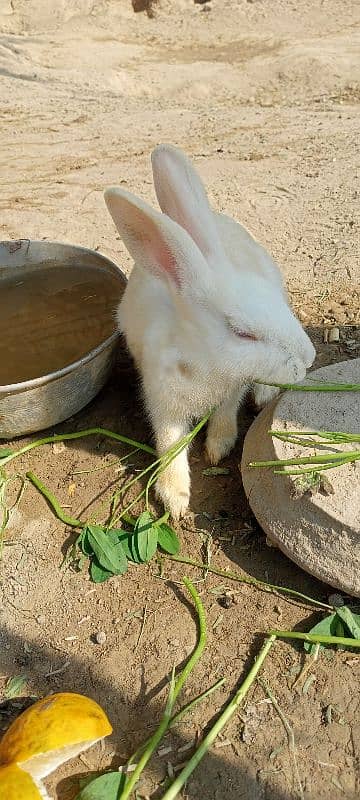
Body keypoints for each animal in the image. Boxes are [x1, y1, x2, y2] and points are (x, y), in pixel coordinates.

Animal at [105, 145, 316, 520]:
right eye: (242, 333)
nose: (308, 359)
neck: (204, 364)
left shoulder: (232, 391)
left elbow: (225, 415)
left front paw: (219, 447)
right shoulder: (163, 401)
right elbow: (170, 444)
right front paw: (175, 499)